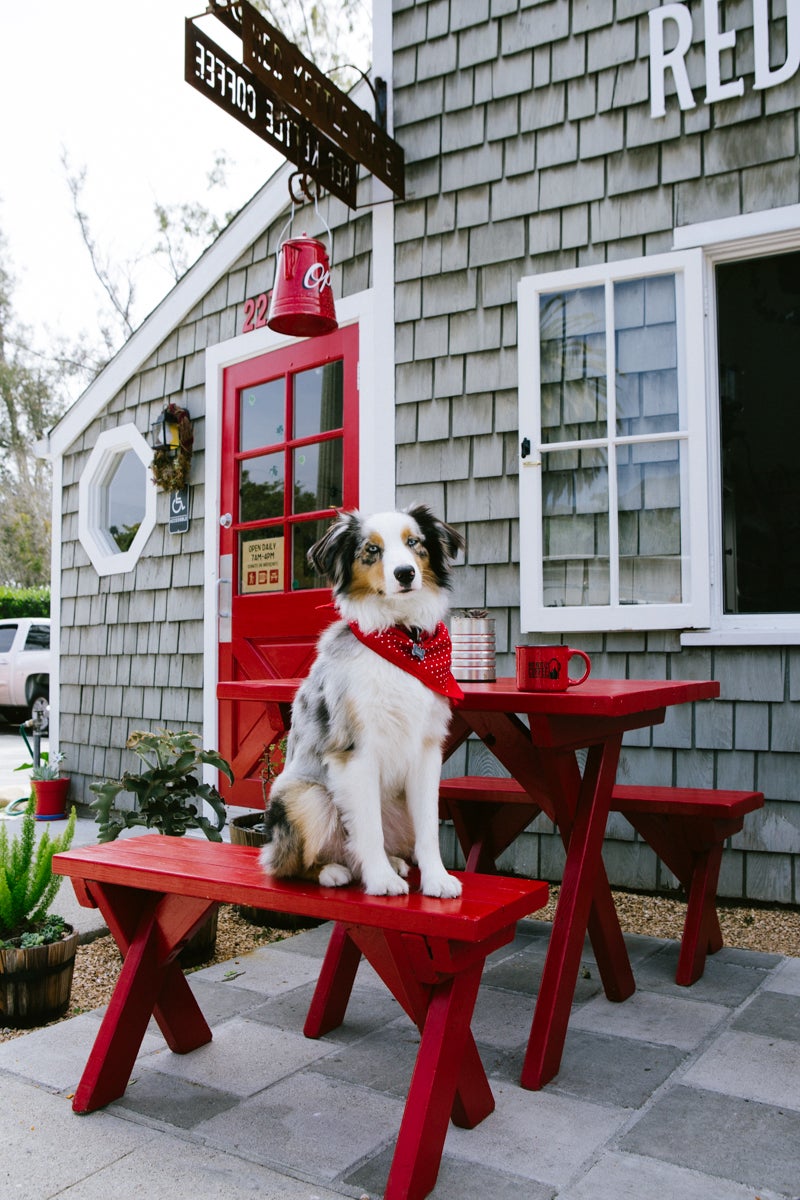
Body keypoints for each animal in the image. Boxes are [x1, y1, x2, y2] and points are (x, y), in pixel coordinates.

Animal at [260, 501, 465, 897]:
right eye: (372, 549)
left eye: (414, 542)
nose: (405, 573)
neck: (403, 639)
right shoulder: (355, 750)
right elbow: (368, 827)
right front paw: (381, 881)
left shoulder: (427, 752)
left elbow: (428, 830)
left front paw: (436, 879)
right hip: (304, 796)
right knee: (287, 866)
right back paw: (332, 871)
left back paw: (394, 863)